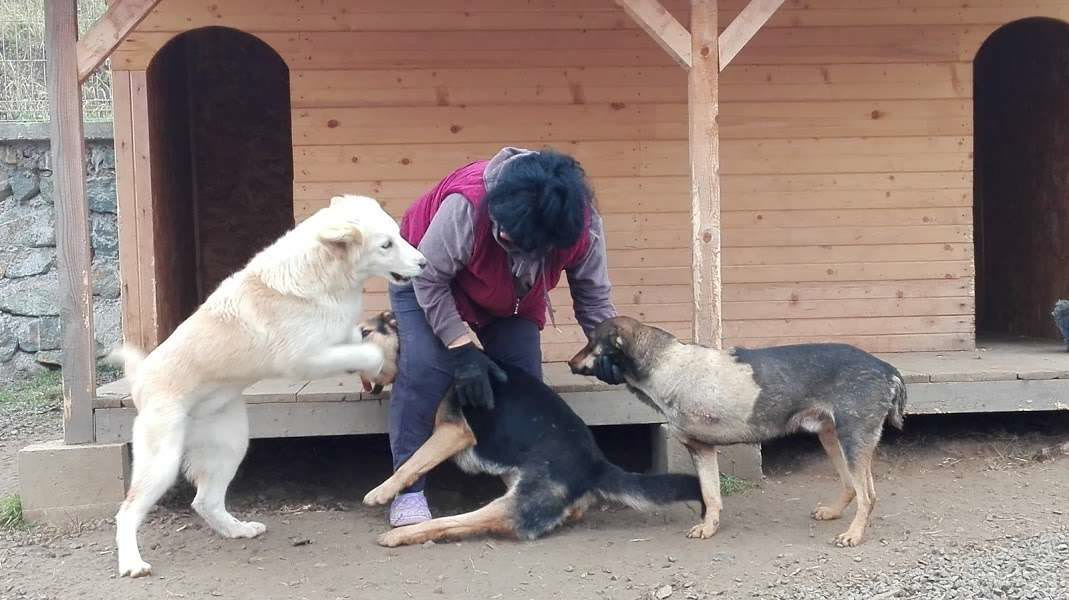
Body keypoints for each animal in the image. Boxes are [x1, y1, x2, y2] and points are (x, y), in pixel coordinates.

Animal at [109, 195, 425, 577]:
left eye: (399, 235)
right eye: (386, 244)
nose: (424, 263)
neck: (324, 273)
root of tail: (141, 379)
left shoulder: (337, 338)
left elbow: (359, 338)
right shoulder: (305, 359)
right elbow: (367, 350)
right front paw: (380, 361)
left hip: (231, 445)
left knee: (205, 501)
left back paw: (237, 530)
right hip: (162, 461)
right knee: (127, 512)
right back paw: (132, 563)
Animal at [358, 312, 703, 547]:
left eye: (363, 331)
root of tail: (596, 465)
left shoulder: (453, 431)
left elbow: (412, 462)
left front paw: (380, 491)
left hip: (506, 504)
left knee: (453, 523)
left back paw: (401, 534)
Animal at [569, 316, 906, 547]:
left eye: (591, 341)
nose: (569, 362)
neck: (666, 365)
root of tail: (887, 369)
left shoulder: (699, 447)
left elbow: (709, 494)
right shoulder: (702, 450)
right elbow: (712, 495)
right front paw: (709, 527)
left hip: (852, 440)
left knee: (867, 496)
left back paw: (853, 534)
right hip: (833, 437)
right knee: (855, 487)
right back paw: (834, 513)